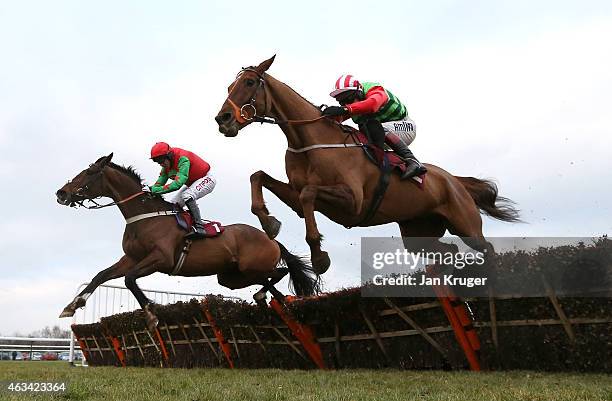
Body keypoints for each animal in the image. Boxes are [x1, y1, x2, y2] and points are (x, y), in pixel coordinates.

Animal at [56, 152, 320, 328]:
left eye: (89, 173)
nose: (61, 193)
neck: (145, 217)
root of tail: (270, 238)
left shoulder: (160, 259)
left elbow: (130, 280)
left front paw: (152, 314)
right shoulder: (131, 257)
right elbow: (101, 275)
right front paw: (72, 306)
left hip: (251, 267)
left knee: (280, 273)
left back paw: (267, 298)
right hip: (231, 277)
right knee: (270, 282)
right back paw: (275, 303)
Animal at [213, 56, 520, 274]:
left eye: (249, 83)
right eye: (228, 87)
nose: (222, 119)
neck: (310, 140)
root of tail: (453, 180)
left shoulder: (353, 201)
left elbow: (309, 193)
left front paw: (319, 257)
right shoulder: (297, 198)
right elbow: (259, 176)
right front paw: (269, 221)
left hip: (466, 224)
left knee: (486, 247)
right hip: (418, 231)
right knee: (447, 251)